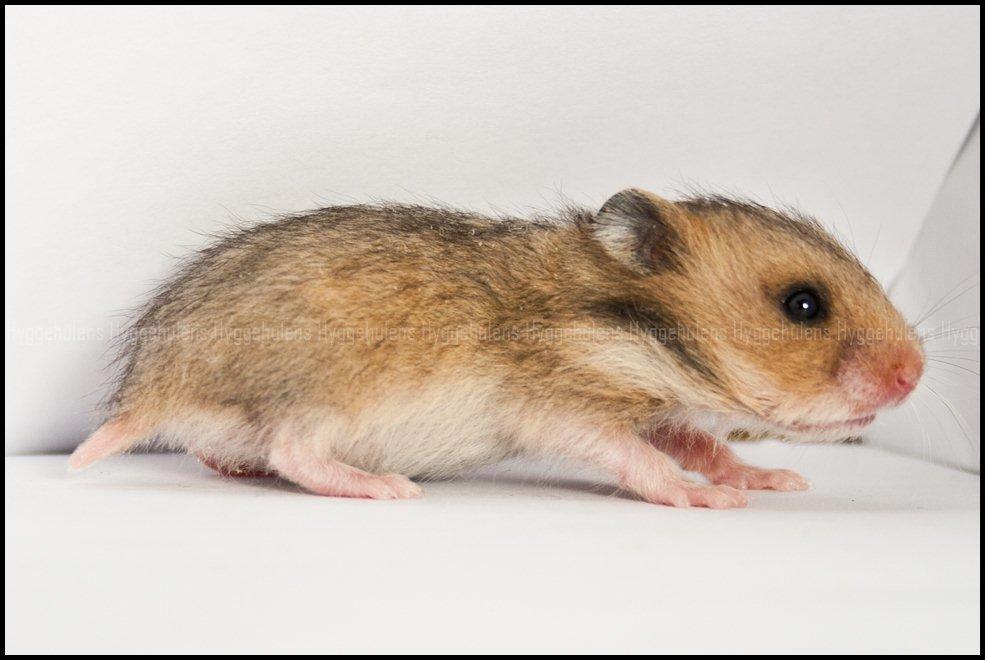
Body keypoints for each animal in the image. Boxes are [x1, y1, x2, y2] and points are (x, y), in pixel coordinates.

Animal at [69, 189, 924, 508]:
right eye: (802, 304)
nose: (914, 375)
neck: (639, 334)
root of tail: (148, 389)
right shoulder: (563, 407)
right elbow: (640, 459)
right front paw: (708, 500)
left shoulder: (657, 407)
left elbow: (706, 446)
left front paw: (775, 479)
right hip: (327, 394)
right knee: (294, 452)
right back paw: (387, 489)